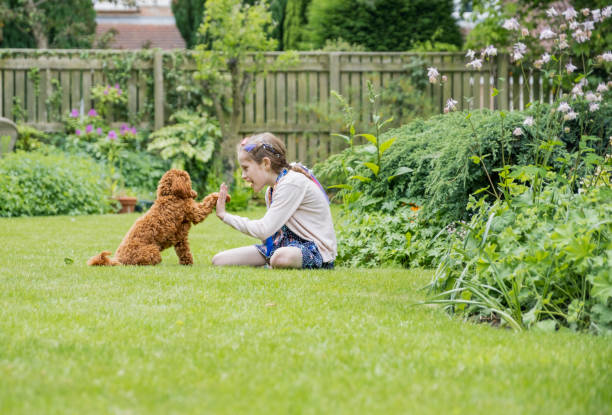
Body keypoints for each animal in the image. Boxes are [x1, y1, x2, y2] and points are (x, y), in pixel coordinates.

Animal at [87, 169, 228, 266]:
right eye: (189, 181)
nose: (195, 193)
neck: (170, 196)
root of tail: (118, 260)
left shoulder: (180, 238)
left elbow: (184, 251)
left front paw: (187, 263)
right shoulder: (194, 211)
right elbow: (207, 203)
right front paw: (219, 196)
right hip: (152, 251)